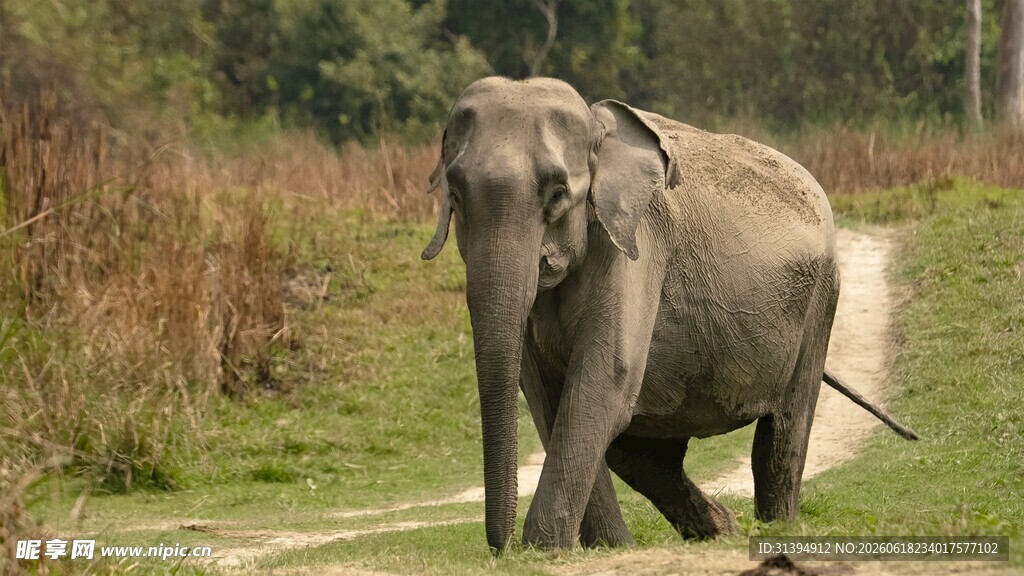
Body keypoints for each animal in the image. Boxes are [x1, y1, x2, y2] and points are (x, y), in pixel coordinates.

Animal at [421, 77, 918, 552]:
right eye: (456, 195)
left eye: (558, 194)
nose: (500, 550)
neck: (598, 132)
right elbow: (547, 395)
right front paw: (607, 548)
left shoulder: (636, 245)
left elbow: (604, 380)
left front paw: (546, 550)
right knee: (640, 452)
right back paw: (722, 529)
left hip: (820, 301)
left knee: (782, 434)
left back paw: (773, 528)